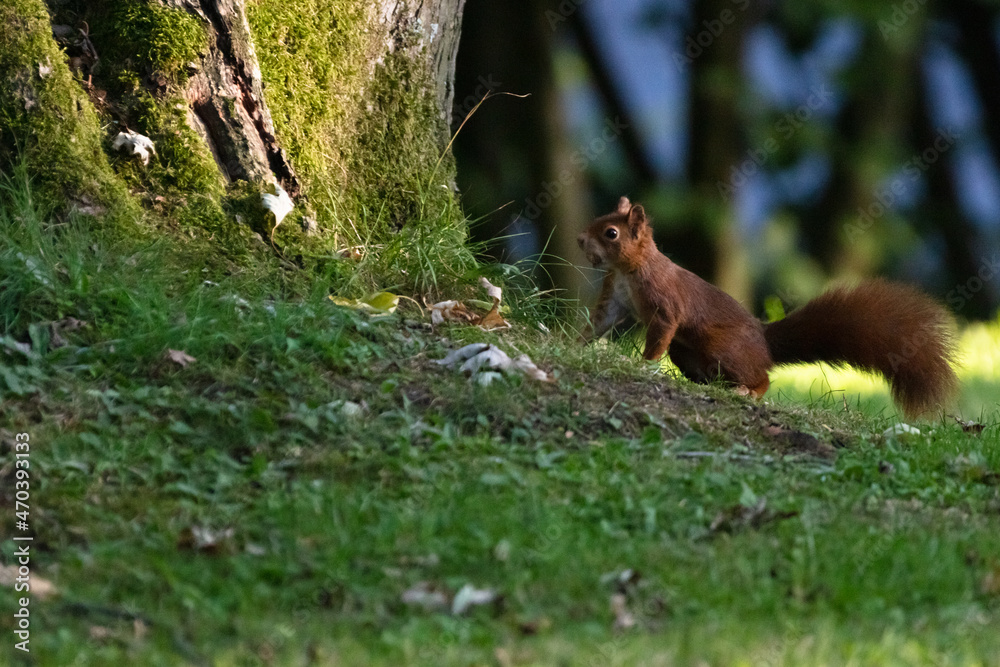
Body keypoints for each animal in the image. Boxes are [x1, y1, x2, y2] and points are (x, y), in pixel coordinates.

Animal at [580, 197, 960, 418]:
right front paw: (575, 343)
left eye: (611, 233)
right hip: (687, 353)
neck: (629, 270)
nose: (580, 240)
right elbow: (599, 323)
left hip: (723, 347)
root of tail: (765, 343)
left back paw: (747, 390)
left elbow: (661, 332)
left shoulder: (665, 303)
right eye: (598, 218)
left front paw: (643, 364)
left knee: (762, 378)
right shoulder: (615, 297)